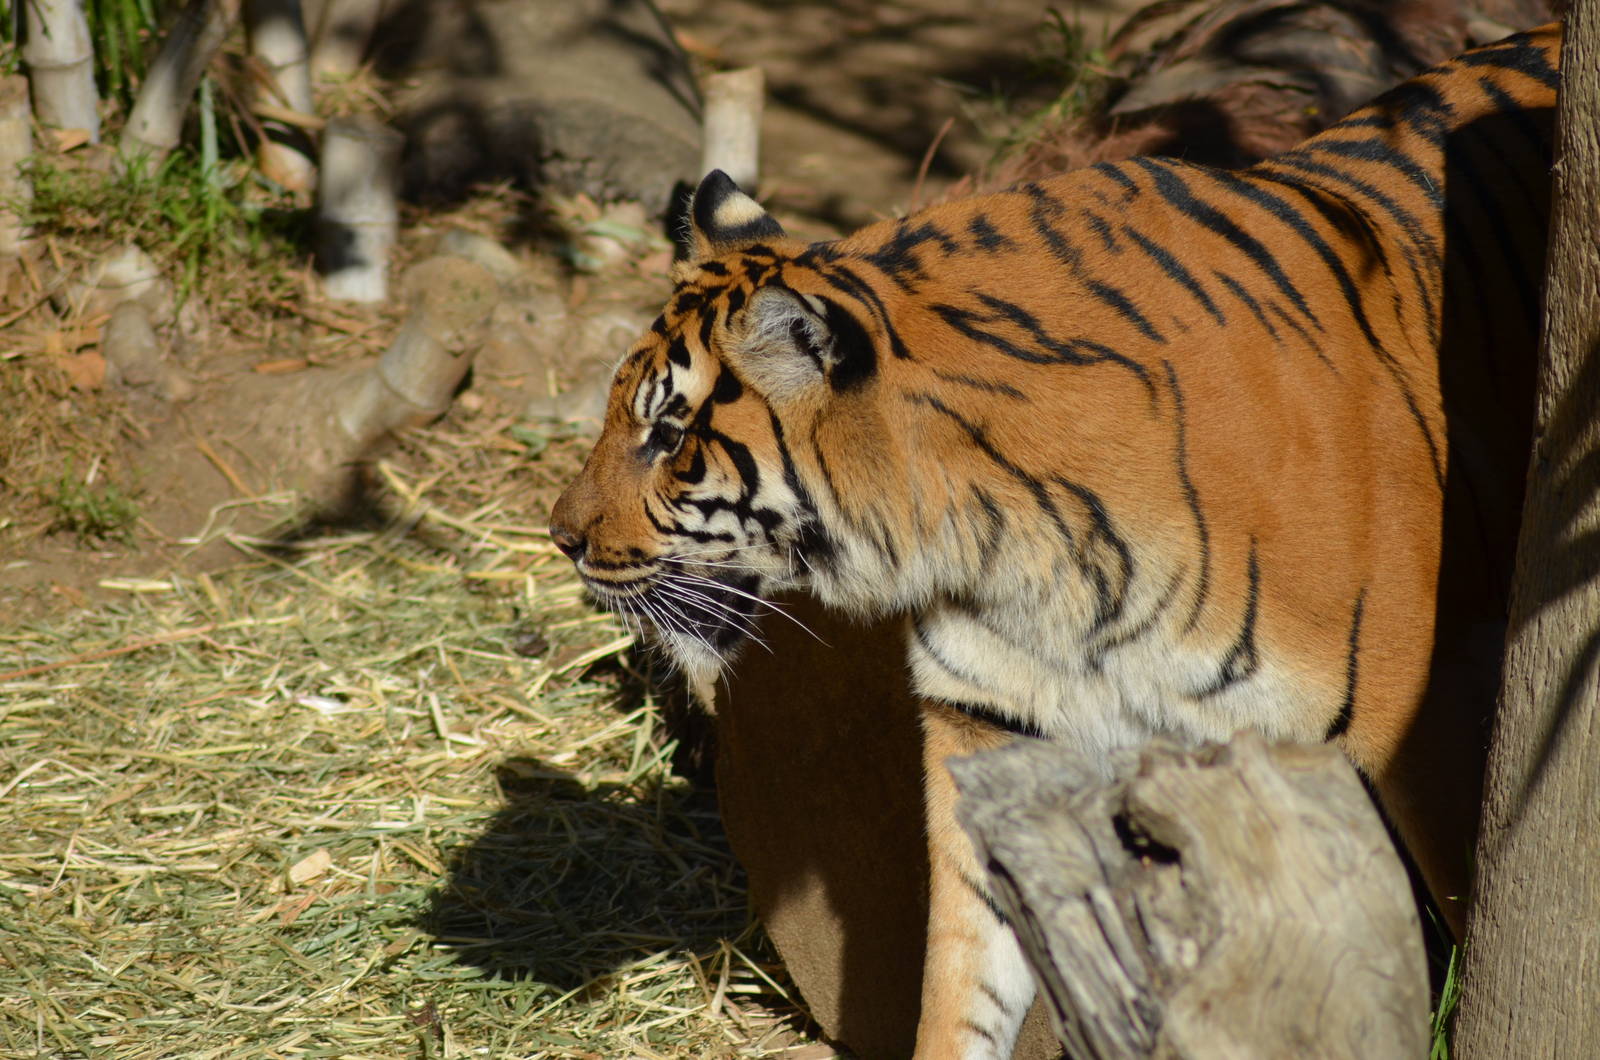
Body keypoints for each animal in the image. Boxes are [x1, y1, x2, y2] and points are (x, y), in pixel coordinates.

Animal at [549, 22, 1560, 1059]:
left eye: (670, 436)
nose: (561, 537)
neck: (1010, 552)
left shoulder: (1426, 721)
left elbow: (1463, 911)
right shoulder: (996, 730)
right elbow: (963, 978)